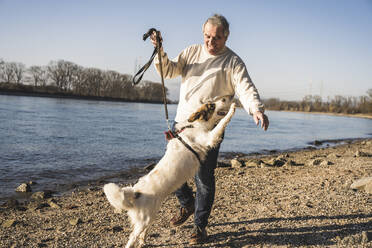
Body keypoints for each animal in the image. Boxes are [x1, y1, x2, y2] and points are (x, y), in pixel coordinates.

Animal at [104, 97, 235, 248]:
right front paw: (233, 108)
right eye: (211, 105)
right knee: (132, 238)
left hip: (150, 216)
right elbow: (223, 121)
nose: (225, 98)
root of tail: (136, 192)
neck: (195, 125)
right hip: (144, 220)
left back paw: (143, 242)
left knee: (142, 233)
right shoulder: (210, 137)